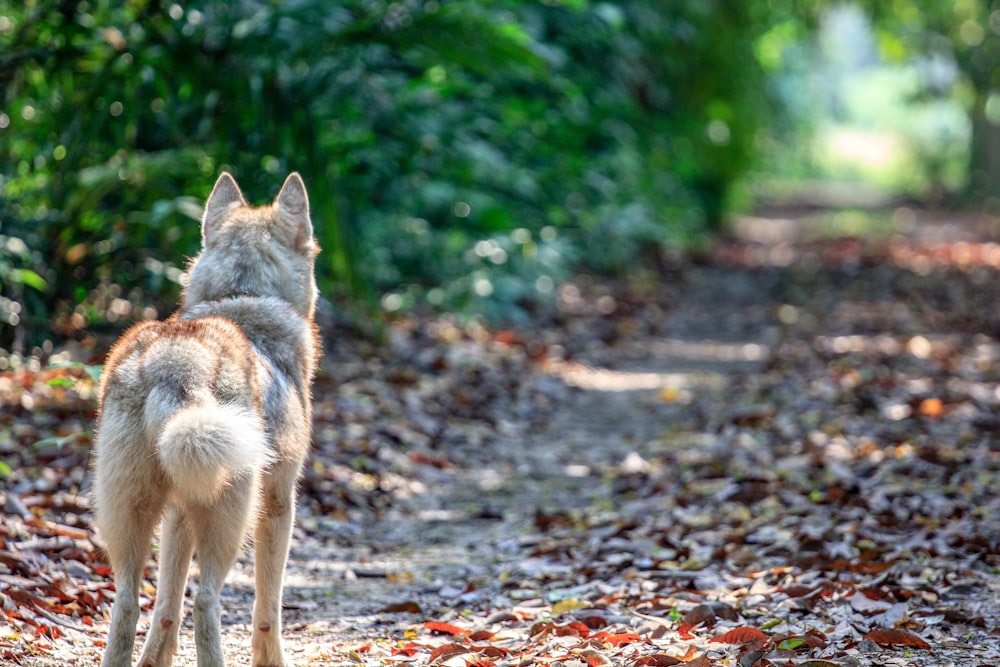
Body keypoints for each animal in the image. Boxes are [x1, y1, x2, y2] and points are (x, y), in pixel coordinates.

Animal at [93, 174, 320, 667]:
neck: (243, 297)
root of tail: (178, 364)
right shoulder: (279, 504)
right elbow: (268, 609)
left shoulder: (179, 513)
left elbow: (166, 608)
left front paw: (154, 660)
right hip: (232, 520)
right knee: (206, 600)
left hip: (130, 515)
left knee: (128, 601)